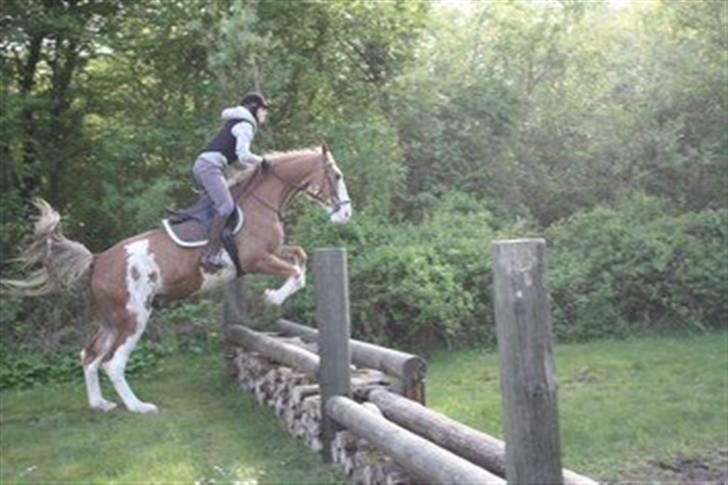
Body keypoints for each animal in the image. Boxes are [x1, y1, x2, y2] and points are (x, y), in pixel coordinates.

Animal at [1, 144, 352, 412]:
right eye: (336, 176)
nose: (346, 213)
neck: (261, 203)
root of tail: (98, 260)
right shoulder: (257, 259)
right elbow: (296, 272)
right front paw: (272, 298)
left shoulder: (274, 251)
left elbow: (300, 256)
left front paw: (275, 293)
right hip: (134, 316)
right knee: (113, 362)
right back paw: (138, 407)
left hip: (111, 319)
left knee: (89, 355)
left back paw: (100, 404)